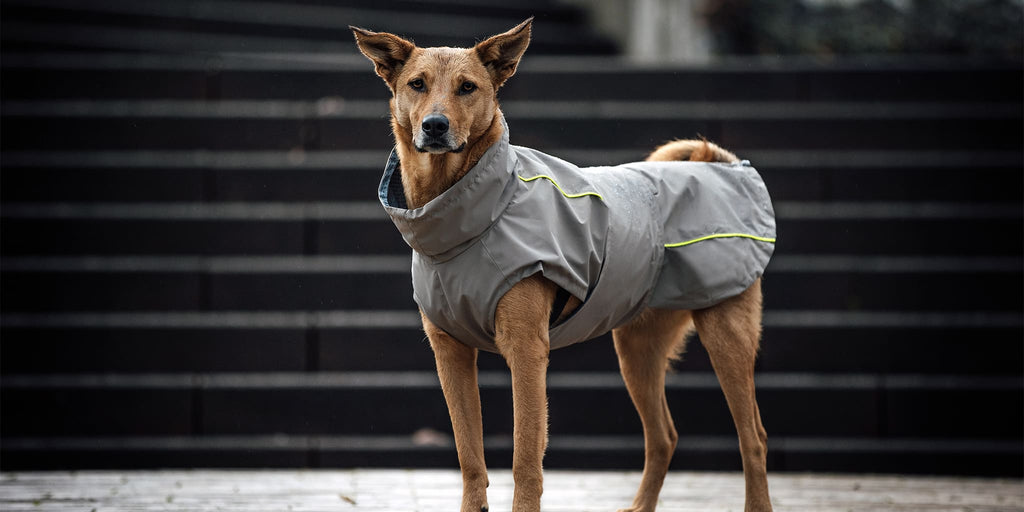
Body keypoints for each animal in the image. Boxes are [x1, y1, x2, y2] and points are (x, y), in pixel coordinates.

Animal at [354, 18, 774, 512]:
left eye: (467, 88)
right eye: (416, 85)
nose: (434, 126)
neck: (467, 215)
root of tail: (725, 167)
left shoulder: (527, 351)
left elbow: (525, 459)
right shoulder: (450, 352)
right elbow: (470, 457)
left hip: (726, 336)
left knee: (754, 438)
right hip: (637, 349)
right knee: (664, 436)